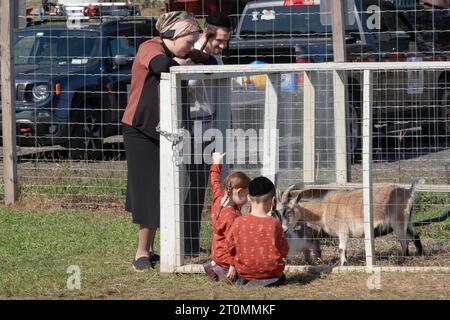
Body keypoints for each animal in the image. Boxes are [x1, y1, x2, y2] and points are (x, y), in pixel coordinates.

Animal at [278, 180, 426, 264]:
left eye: (288, 211)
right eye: (277, 212)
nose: (283, 229)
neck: (324, 208)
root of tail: (408, 192)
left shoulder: (342, 230)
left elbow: (340, 248)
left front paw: (343, 264)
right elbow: (344, 249)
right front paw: (346, 261)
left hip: (398, 221)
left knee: (404, 241)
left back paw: (401, 261)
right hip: (408, 220)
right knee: (415, 237)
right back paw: (421, 256)